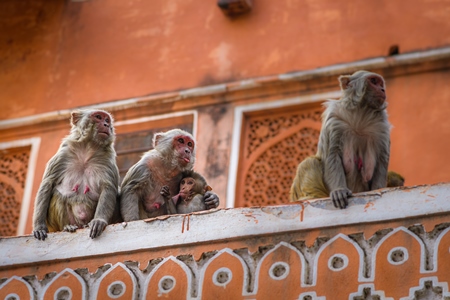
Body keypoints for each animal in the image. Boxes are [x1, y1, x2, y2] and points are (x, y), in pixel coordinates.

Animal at [32, 109, 119, 240]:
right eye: (98, 117)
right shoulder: (64, 154)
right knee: (57, 193)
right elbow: (48, 184)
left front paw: (99, 221)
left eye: (107, 120)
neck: (88, 148)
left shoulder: (107, 159)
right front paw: (39, 227)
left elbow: (109, 188)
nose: (106, 125)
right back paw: (68, 226)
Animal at [288, 71, 390, 210]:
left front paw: (378, 190)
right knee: (309, 162)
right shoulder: (335, 119)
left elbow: (381, 161)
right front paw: (339, 190)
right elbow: (332, 155)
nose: (383, 89)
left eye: (380, 83)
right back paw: (312, 197)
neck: (361, 113)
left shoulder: (381, 127)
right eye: (373, 81)